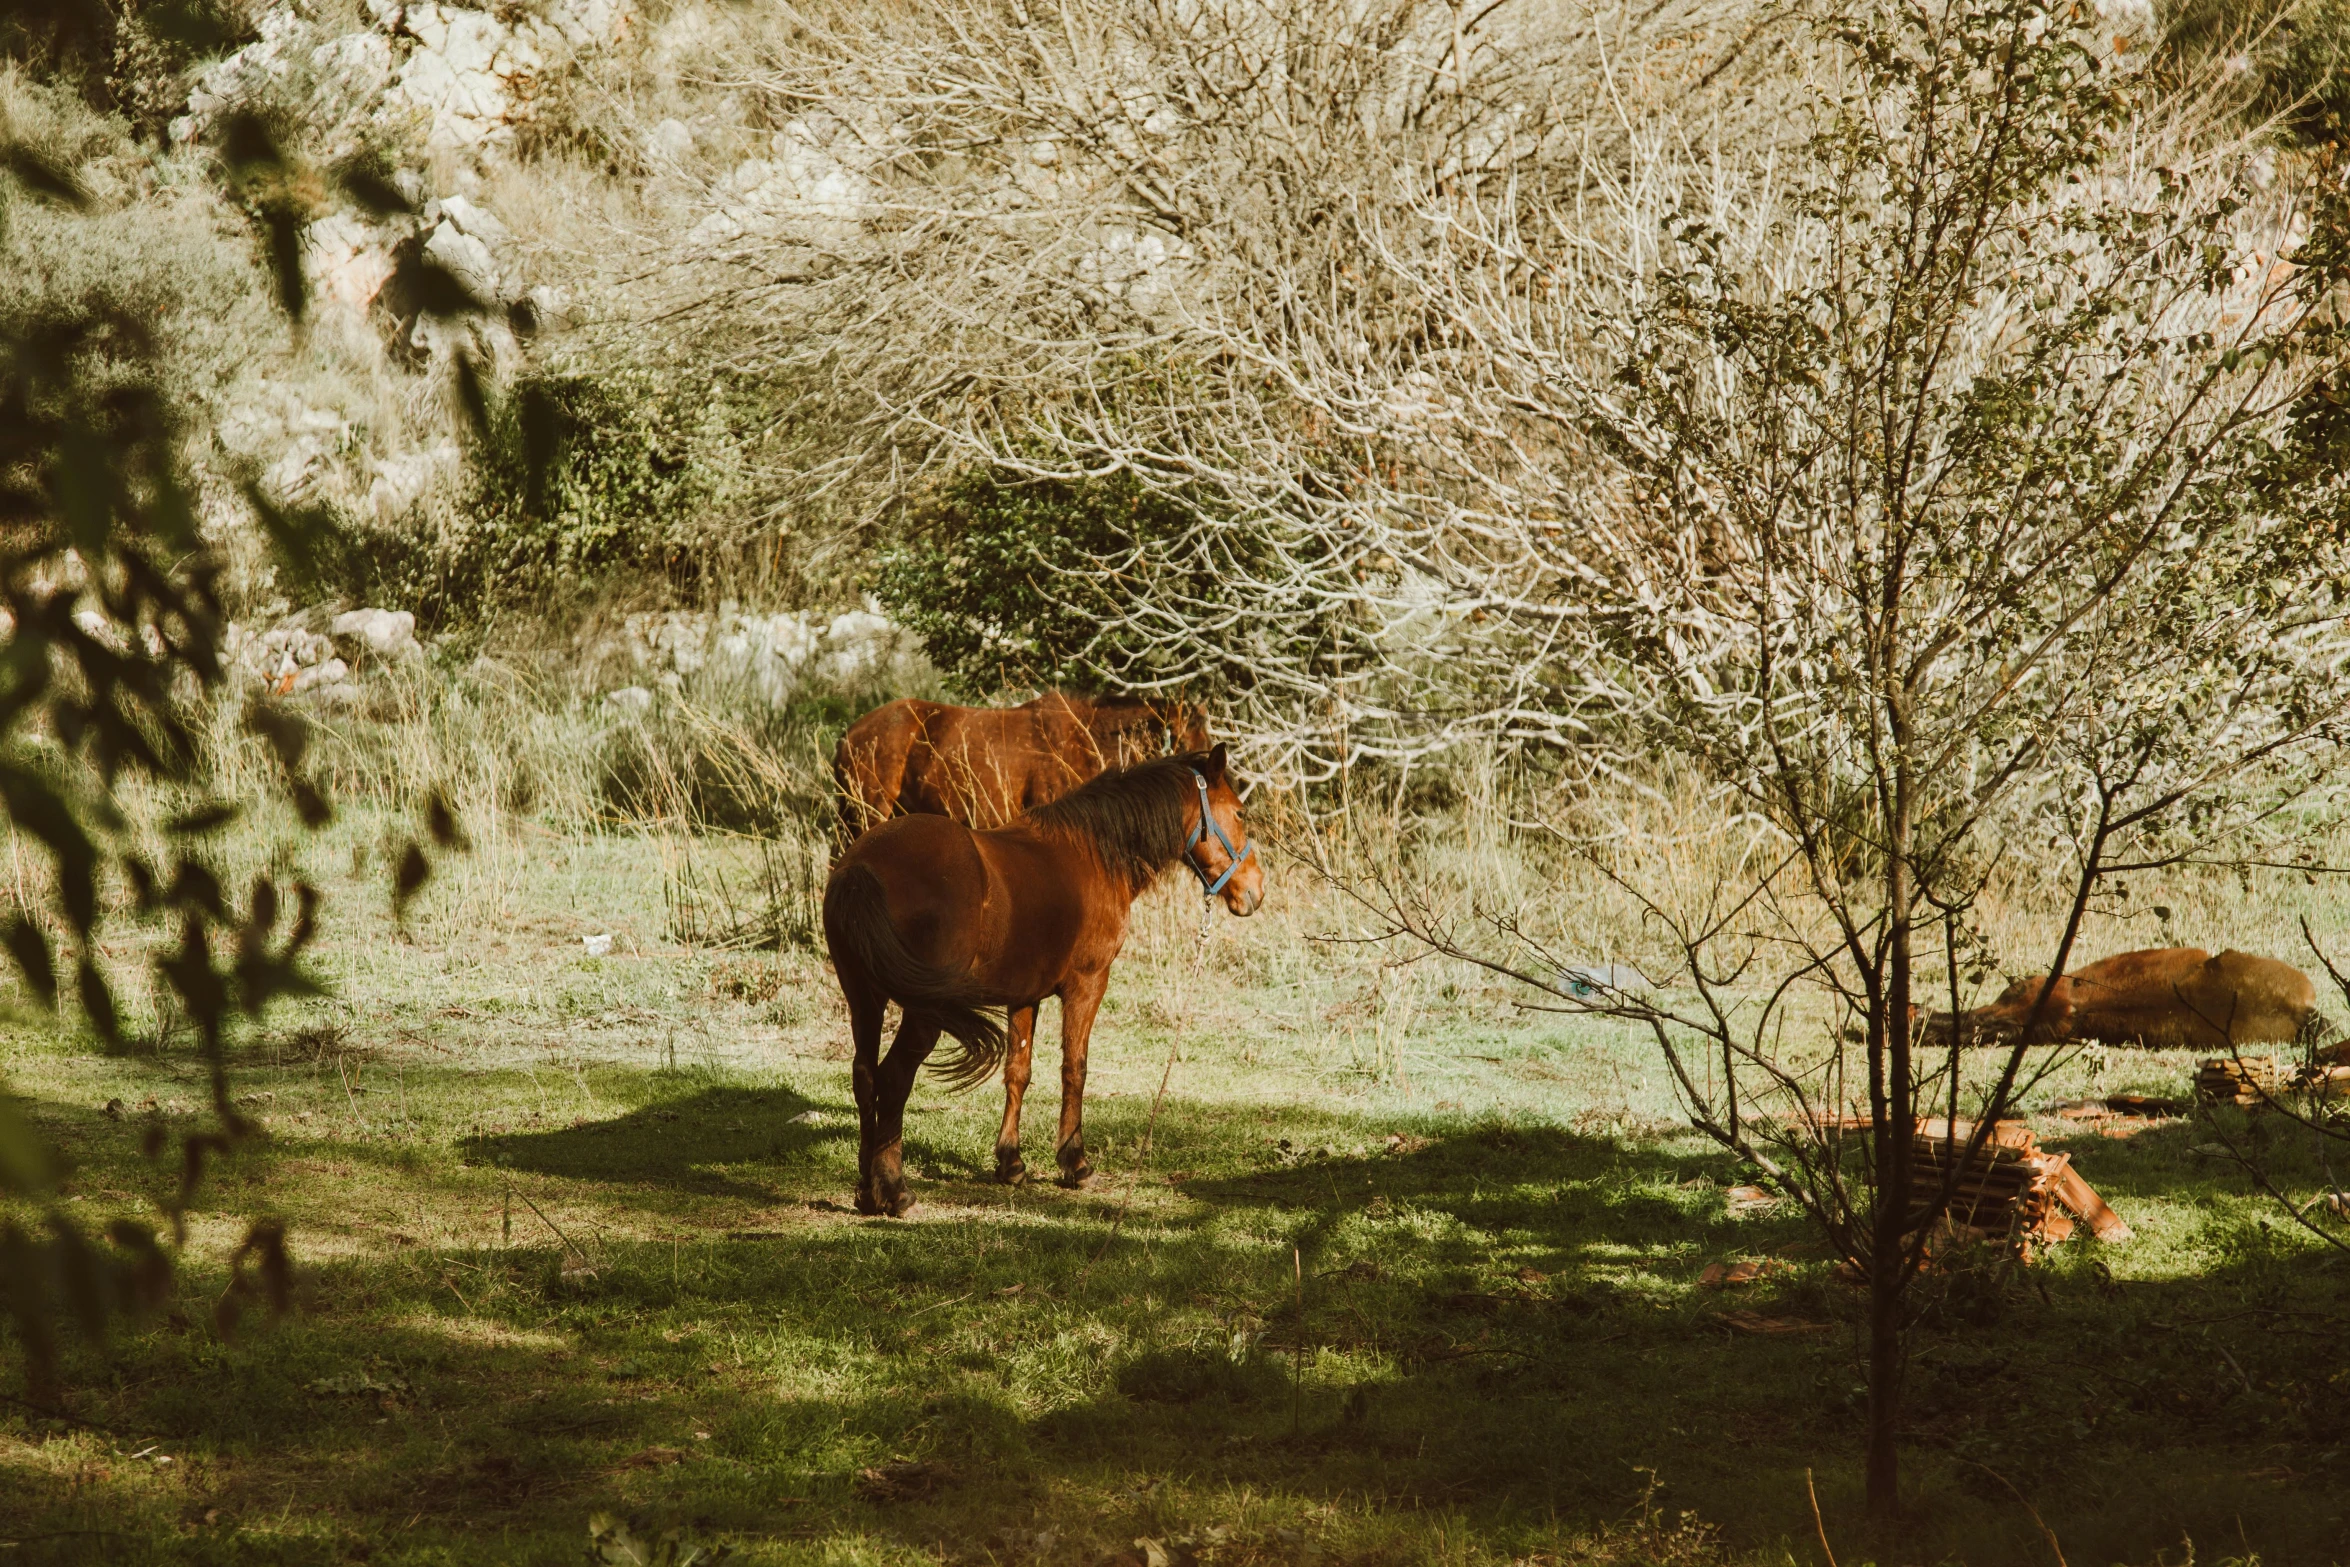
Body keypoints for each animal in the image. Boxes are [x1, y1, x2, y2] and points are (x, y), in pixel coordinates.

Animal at [827, 747, 1269, 1212]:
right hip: (922, 1012)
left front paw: (1011, 1163)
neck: (1092, 852)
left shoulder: (1025, 995)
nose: (1256, 890)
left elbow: (1018, 1071)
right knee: (894, 1079)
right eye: (1240, 813)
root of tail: (862, 865)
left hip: (864, 1001)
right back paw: (895, 1191)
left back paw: (867, 1189)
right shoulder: (1088, 984)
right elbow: (1075, 1068)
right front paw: (1075, 1163)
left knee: (864, 1076)